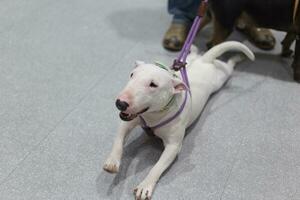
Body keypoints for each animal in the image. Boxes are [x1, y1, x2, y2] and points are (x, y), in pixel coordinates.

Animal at [103, 41, 253, 199]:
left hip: (222, 77)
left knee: (229, 66)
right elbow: (118, 140)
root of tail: (203, 60)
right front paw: (112, 162)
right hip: (195, 61)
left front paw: (145, 186)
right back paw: (192, 47)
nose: (120, 103)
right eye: (132, 75)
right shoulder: (128, 121)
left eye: (153, 84)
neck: (153, 115)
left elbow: (158, 166)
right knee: (195, 53)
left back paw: (237, 58)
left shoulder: (173, 146)